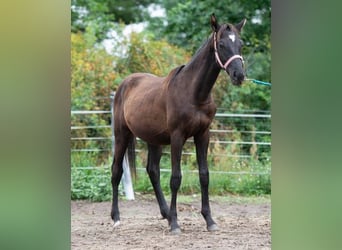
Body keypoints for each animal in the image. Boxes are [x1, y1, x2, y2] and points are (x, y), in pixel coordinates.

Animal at [111, 14, 247, 234]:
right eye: (222, 44)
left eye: (241, 44)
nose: (239, 75)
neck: (193, 93)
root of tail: (125, 84)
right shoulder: (177, 136)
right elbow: (175, 178)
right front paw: (175, 224)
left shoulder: (203, 135)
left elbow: (204, 175)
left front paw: (209, 220)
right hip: (121, 135)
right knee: (116, 171)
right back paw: (116, 218)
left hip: (154, 140)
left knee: (153, 171)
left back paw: (165, 214)